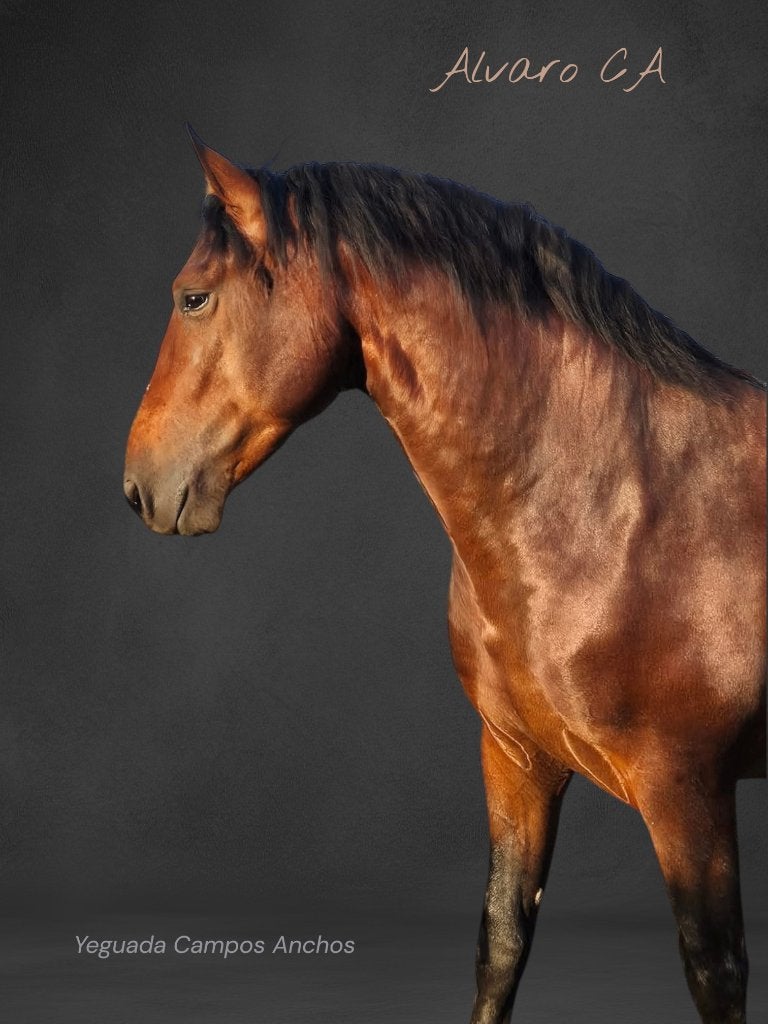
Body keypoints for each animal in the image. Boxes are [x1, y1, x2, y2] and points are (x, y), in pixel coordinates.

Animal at [124, 126, 766, 1024]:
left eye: (192, 298)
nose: (138, 485)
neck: (615, 504)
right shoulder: (516, 760)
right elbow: (500, 942)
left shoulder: (689, 789)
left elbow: (715, 968)